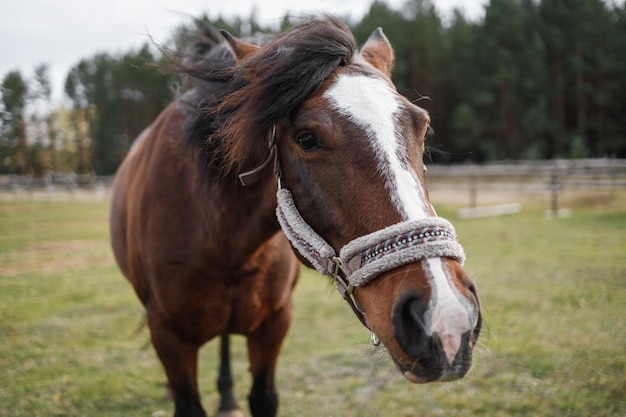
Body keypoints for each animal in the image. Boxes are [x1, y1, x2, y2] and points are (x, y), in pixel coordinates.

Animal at [109, 15, 480, 416]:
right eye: (306, 138)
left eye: (422, 126)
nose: (447, 317)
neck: (221, 239)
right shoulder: (168, 335)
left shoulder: (275, 323)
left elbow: (264, 398)